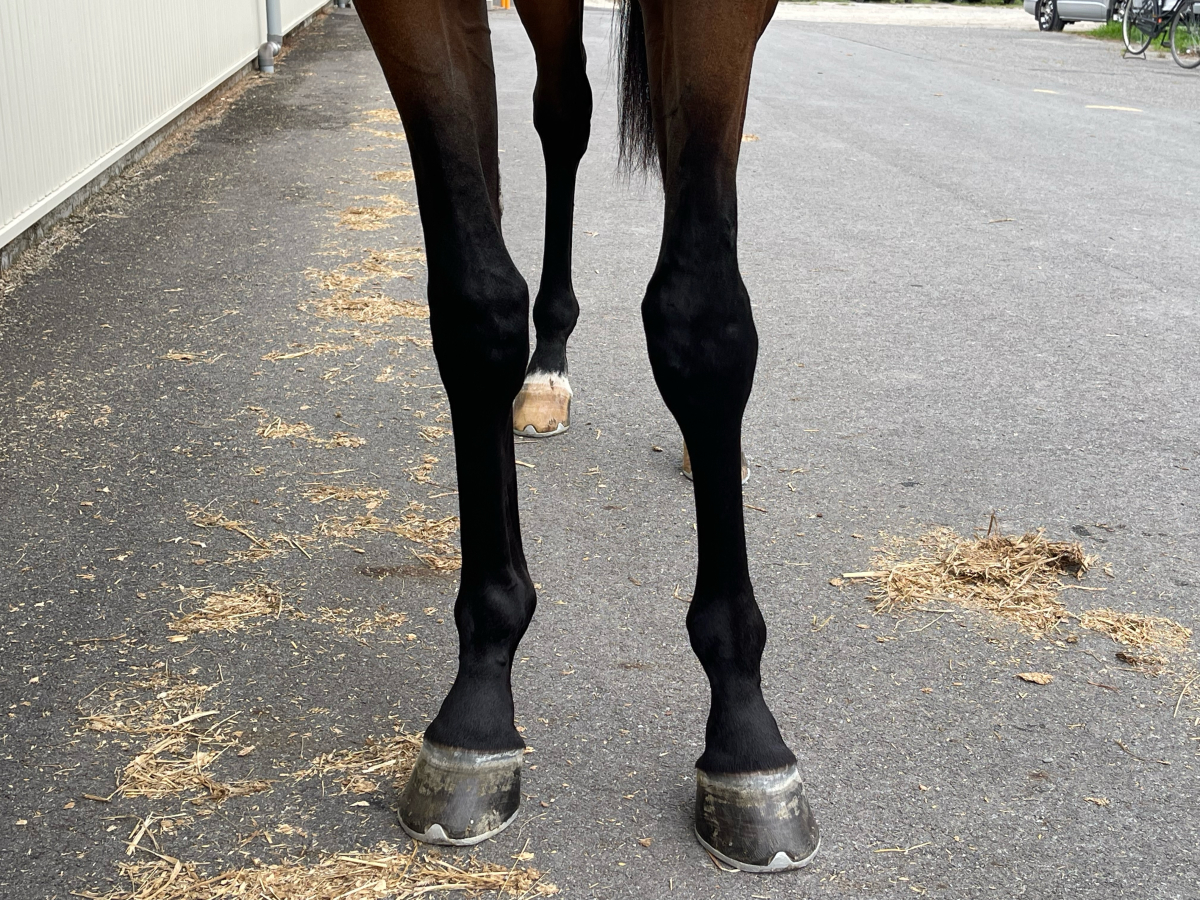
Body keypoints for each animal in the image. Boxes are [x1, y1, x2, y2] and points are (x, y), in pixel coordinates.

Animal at [353, 0, 820, 872]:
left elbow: (702, 316)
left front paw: (746, 733)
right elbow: (476, 304)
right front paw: (479, 701)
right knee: (563, 112)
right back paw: (546, 373)